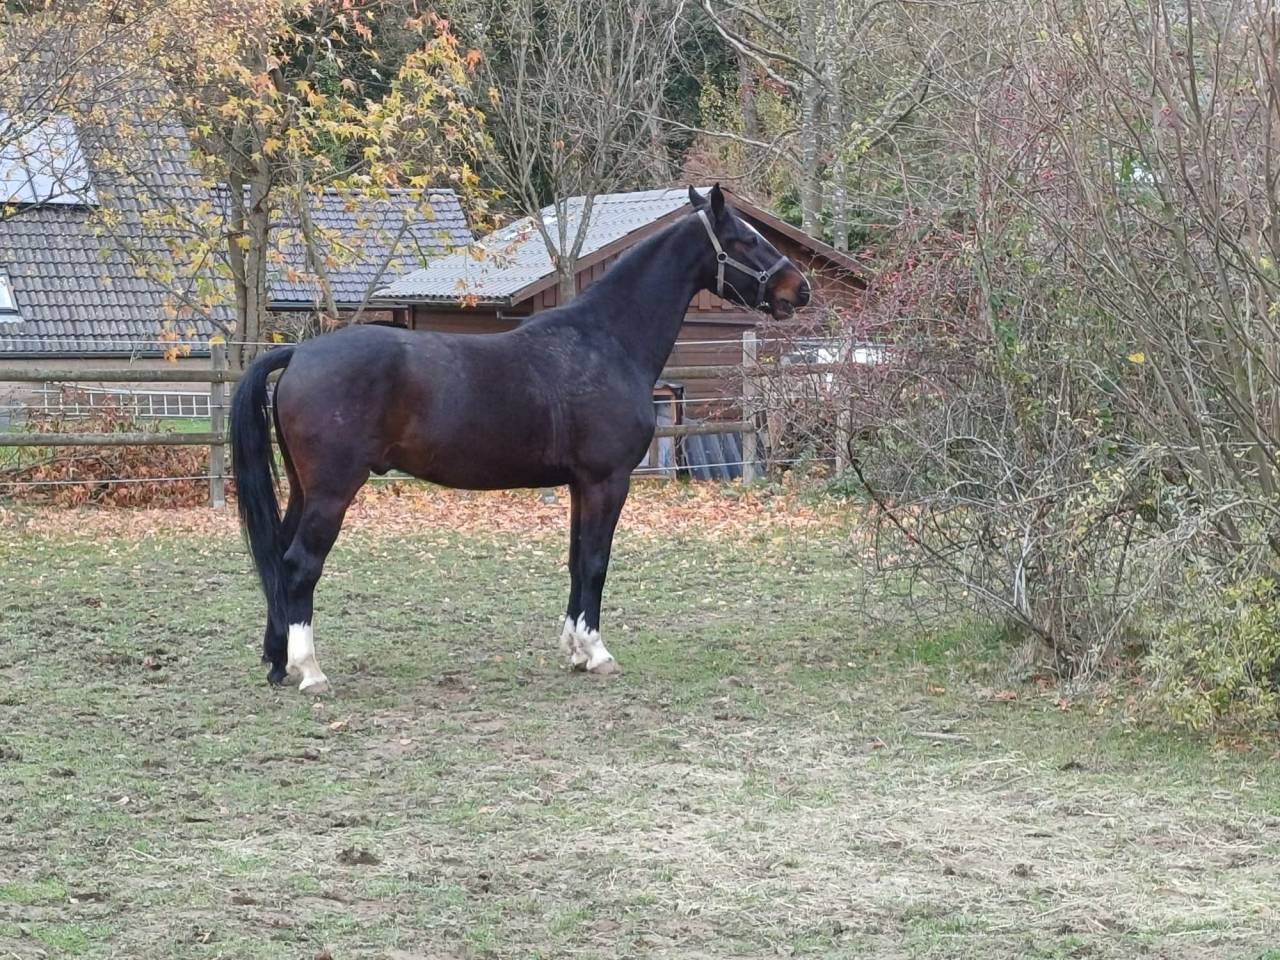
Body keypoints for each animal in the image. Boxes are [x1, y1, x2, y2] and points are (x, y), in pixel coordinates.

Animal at [229, 185, 810, 693]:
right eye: (745, 239)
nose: (798, 289)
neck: (605, 341)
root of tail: (300, 353)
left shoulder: (580, 485)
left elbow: (576, 560)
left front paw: (575, 651)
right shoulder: (607, 482)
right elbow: (596, 563)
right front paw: (597, 653)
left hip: (305, 490)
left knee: (277, 561)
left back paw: (279, 663)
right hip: (332, 491)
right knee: (299, 566)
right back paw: (311, 672)